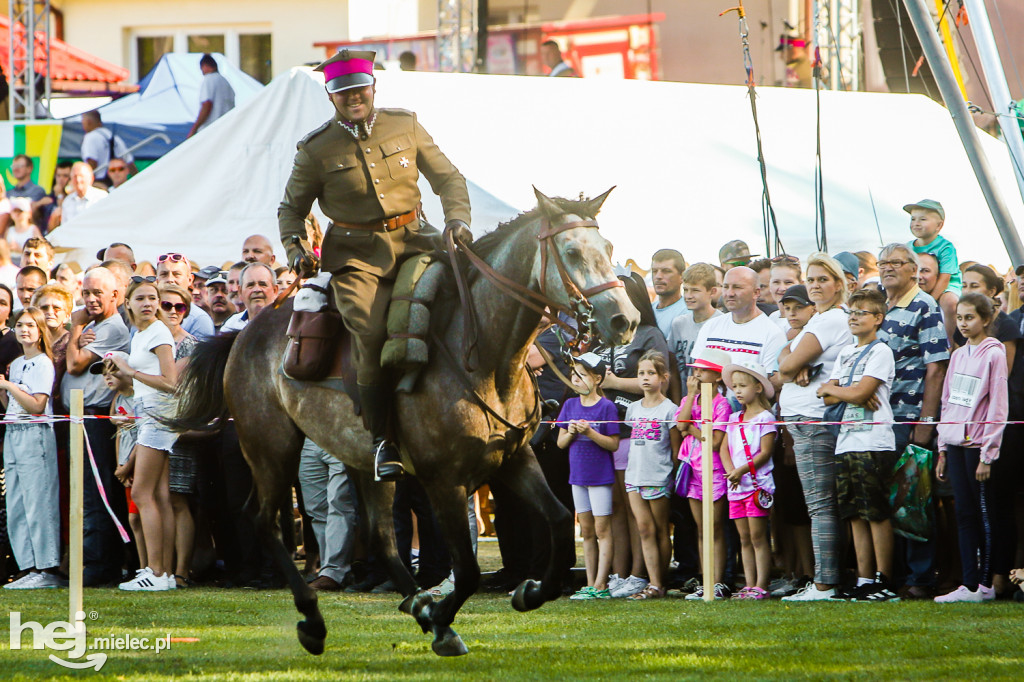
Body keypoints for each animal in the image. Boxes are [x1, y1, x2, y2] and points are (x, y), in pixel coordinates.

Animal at [174, 188, 638, 655]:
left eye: (609, 249)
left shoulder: (513, 460)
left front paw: (528, 592)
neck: (485, 359)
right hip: (271, 448)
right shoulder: (444, 481)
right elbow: (468, 570)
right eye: (572, 251)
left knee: (379, 537)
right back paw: (314, 619)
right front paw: (445, 620)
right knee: (264, 520)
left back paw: (416, 603)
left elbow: (559, 523)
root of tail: (241, 335)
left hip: (360, 463)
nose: (625, 320)